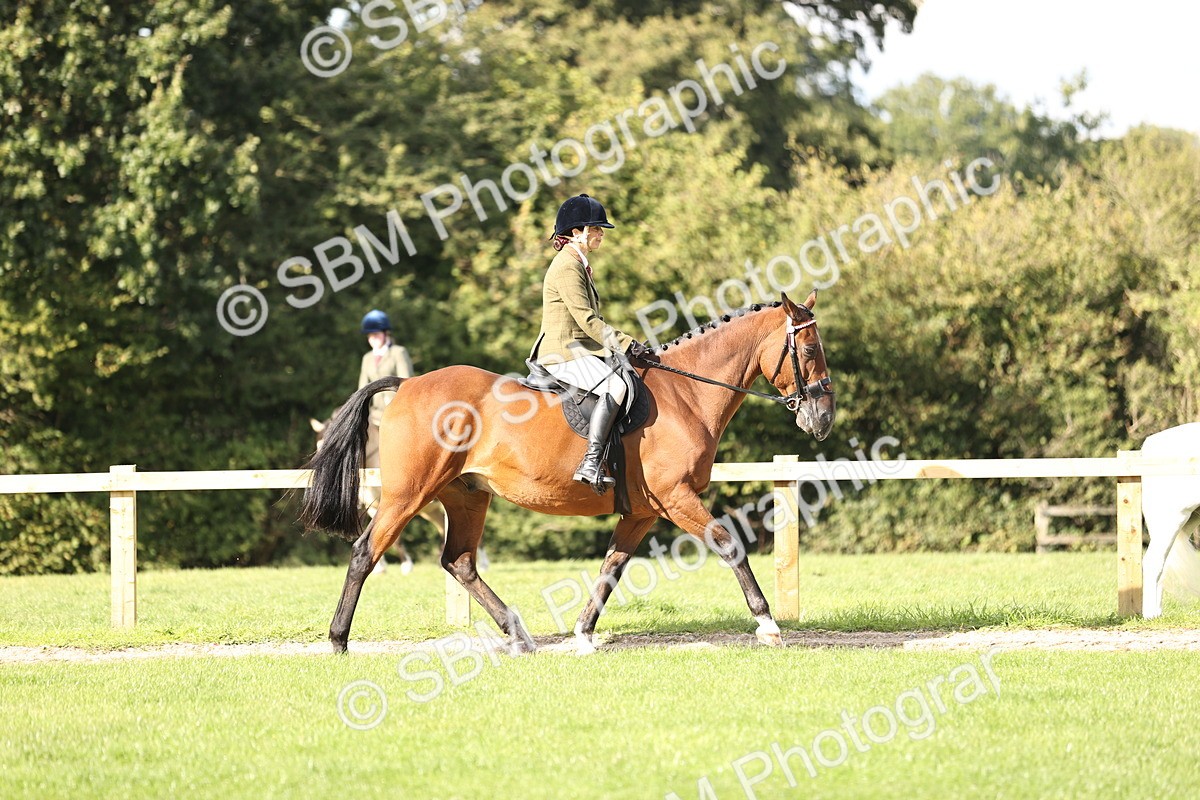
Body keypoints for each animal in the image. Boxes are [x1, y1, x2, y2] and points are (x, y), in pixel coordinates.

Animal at [301, 291, 835, 654]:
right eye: (809, 351)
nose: (823, 419)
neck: (687, 395)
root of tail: (408, 385)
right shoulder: (677, 497)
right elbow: (729, 544)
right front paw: (768, 625)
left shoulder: (643, 511)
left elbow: (610, 568)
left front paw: (581, 634)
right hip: (407, 494)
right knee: (365, 552)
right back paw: (339, 640)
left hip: (467, 495)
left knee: (460, 563)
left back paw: (518, 635)